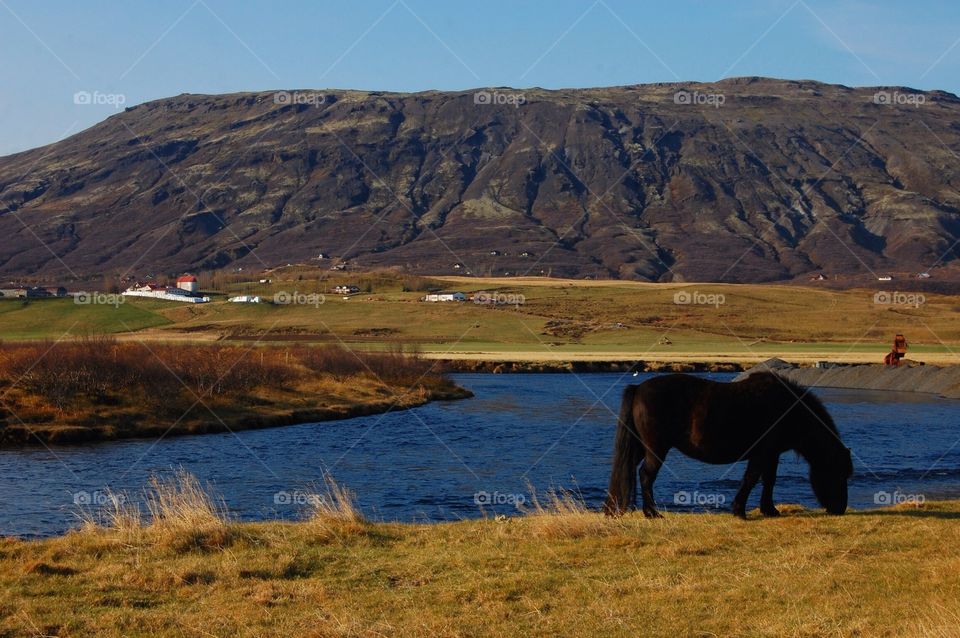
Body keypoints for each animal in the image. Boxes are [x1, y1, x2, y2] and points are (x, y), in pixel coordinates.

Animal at [603, 372, 853, 518]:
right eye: (838, 473)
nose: (839, 509)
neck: (789, 408)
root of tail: (638, 388)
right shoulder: (763, 453)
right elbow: (752, 479)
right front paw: (740, 511)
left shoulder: (771, 454)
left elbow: (769, 480)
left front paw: (769, 510)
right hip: (656, 450)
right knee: (646, 476)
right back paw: (652, 513)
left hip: (640, 448)